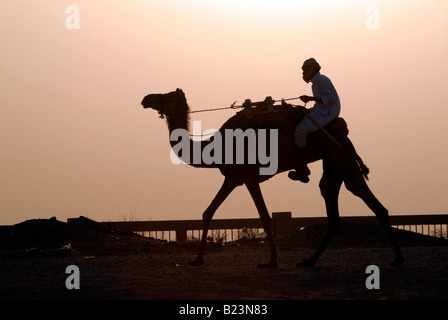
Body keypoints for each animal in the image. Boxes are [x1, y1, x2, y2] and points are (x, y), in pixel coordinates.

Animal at [142, 88, 404, 268]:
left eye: (166, 95)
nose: (146, 98)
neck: (215, 146)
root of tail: (344, 133)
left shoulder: (248, 176)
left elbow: (265, 217)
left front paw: (272, 261)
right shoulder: (232, 178)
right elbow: (208, 212)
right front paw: (197, 259)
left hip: (340, 155)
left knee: (367, 196)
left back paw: (398, 258)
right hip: (333, 163)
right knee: (330, 197)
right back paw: (309, 261)